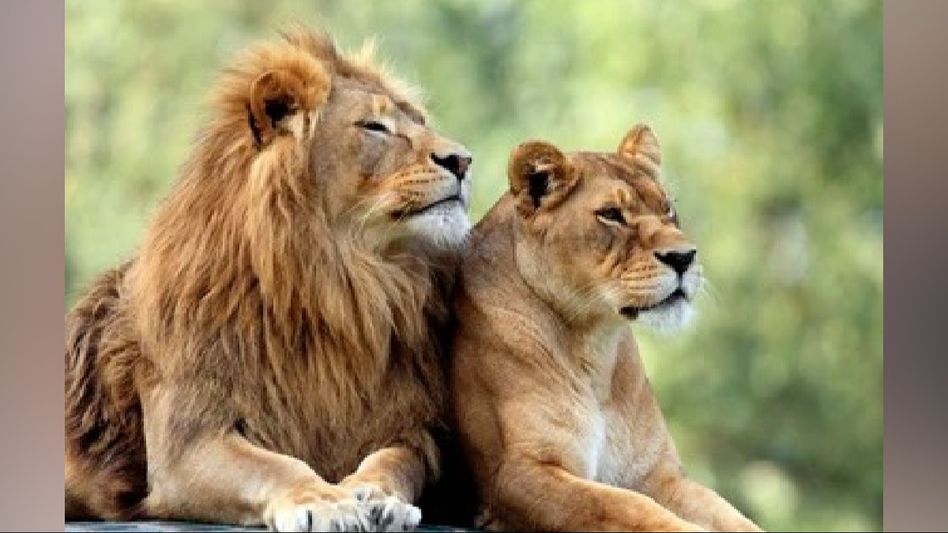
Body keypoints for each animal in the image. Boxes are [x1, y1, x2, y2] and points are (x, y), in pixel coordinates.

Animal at [65, 28, 474, 532]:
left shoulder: (411, 426)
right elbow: (275, 465)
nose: (463, 160)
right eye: (374, 127)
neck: (341, 287)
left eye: (419, 121)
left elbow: (396, 460)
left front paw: (377, 496)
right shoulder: (187, 442)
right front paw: (325, 501)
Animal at [449, 125, 763, 532]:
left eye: (668, 209)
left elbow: (730, 515)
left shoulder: (657, 474)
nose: (684, 257)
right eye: (611, 215)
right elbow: (621, 505)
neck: (594, 345)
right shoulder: (517, 474)